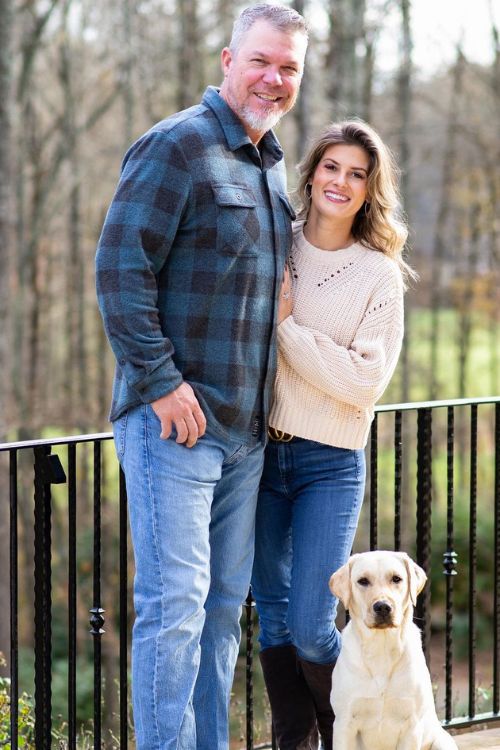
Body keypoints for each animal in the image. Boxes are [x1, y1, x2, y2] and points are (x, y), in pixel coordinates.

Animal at [326, 552, 458, 750]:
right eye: (363, 581)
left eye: (396, 579)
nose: (382, 606)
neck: (382, 649)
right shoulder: (344, 723)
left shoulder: (412, 725)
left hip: (442, 742)